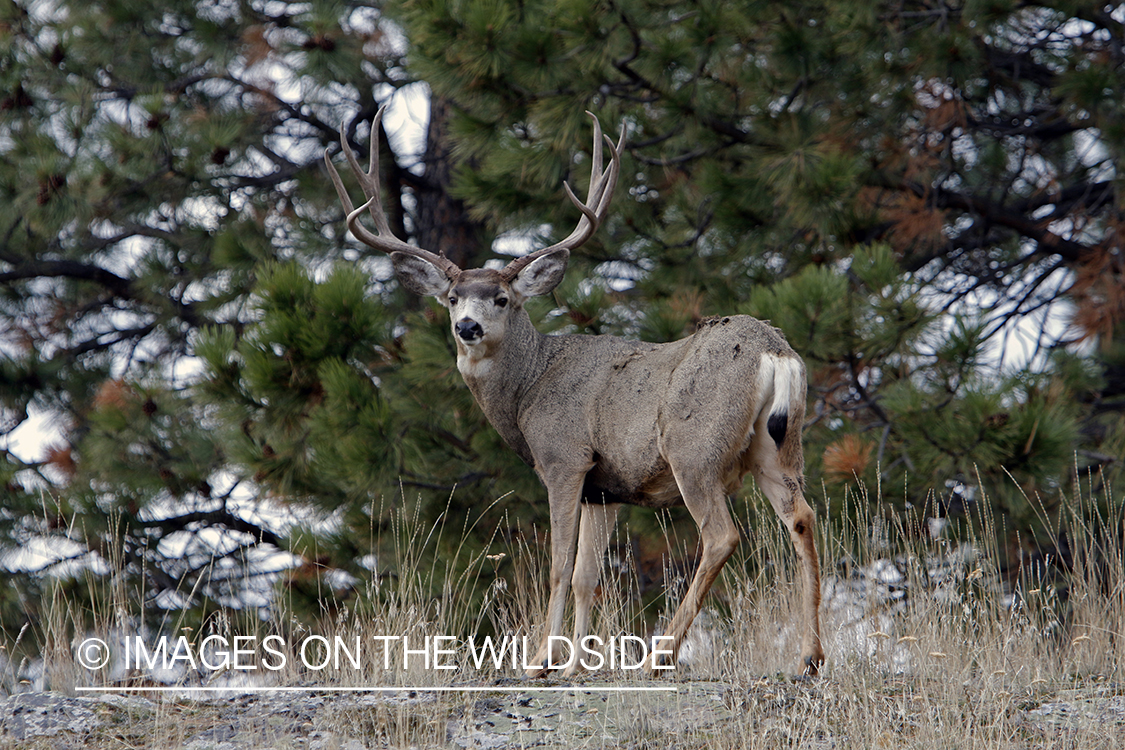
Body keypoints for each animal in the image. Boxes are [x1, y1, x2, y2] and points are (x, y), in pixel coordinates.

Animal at [325, 105, 824, 678]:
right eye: (452, 297)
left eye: (501, 299)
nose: (467, 327)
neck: (529, 388)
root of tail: (774, 350)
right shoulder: (605, 487)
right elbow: (589, 574)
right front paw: (575, 665)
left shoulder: (564, 458)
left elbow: (560, 564)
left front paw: (541, 660)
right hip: (776, 447)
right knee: (802, 518)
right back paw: (809, 656)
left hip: (695, 446)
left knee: (721, 535)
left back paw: (659, 655)